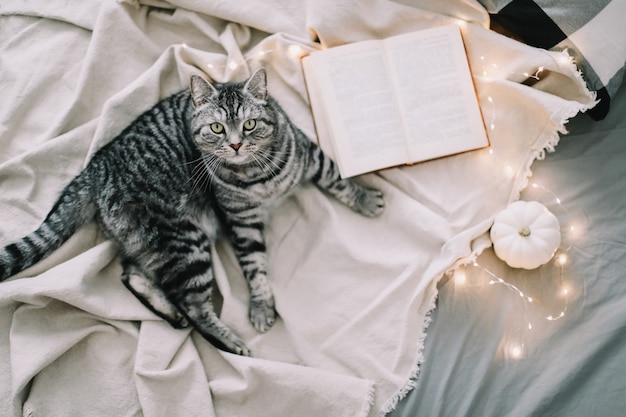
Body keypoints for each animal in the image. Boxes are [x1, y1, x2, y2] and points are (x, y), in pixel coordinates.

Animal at [0, 67, 382, 354]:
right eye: (217, 128)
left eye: (249, 124)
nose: (236, 144)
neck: (258, 176)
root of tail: (97, 164)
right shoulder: (242, 224)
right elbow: (255, 267)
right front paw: (261, 306)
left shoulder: (311, 156)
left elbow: (338, 179)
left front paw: (364, 198)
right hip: (183, 241)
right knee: (194, 305)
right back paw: (229, 341)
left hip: (152, 242)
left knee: (131, 273)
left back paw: (168, 311)